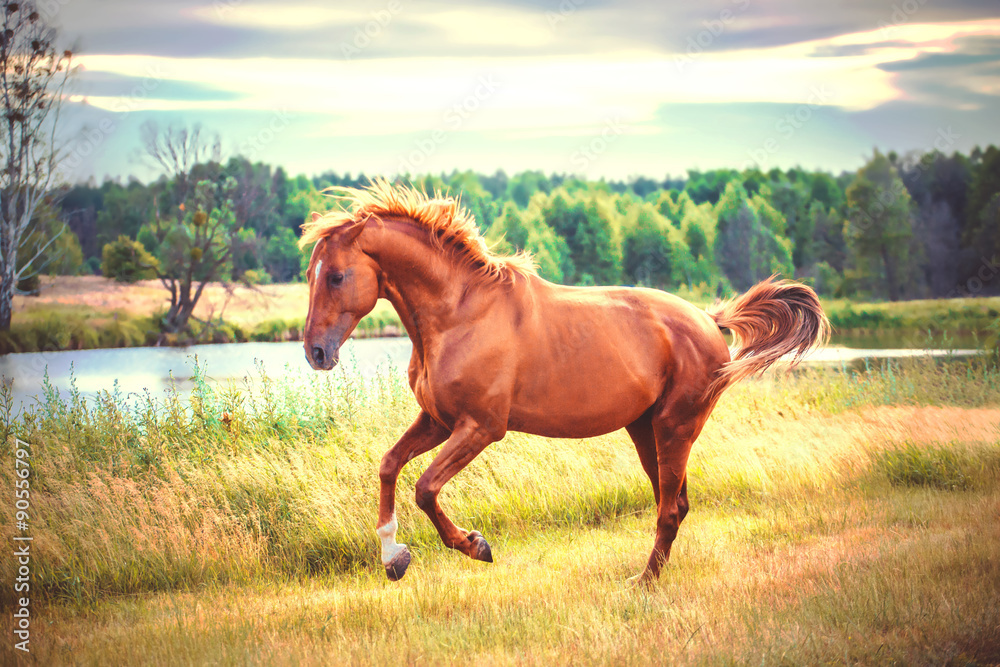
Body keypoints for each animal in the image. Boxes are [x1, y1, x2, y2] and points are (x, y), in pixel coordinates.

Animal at [300, 180, 829, 584]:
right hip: (645, 431)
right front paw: (394, 557)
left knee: (669, 509)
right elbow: (389, 466)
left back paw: (643, 583)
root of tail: (708, 319)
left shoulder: (481, 427)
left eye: (337, 277)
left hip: (675, 429)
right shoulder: (438, 420)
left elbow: (426, 488)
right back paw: (647, 576)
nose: (316, 353)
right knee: (674, 503)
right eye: (310, 273)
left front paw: (474, 545)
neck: (459, 315)